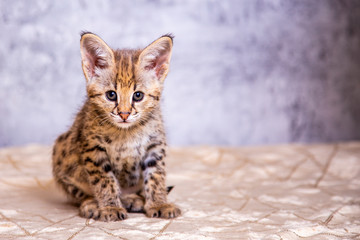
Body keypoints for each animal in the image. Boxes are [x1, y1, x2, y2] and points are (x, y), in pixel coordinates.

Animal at [52, 32, 181, 221]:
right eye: (111, 95)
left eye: (138, 95)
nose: (124, 114)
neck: (126, 132)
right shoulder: (93, 149)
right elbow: (104, 180)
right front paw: (110, 207)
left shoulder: (155, 145)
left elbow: (156, 176)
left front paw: (159, 203)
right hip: (61, 149)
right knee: (79, 192)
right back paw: (93, 203)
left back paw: (132, 198)